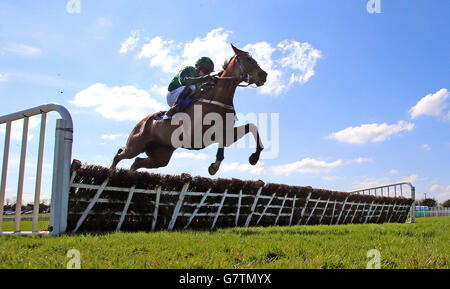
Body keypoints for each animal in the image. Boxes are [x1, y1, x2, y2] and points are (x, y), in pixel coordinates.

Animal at [110, 44, 268, 176]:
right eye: (247, 60)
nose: (264, 75)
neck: (218, 99)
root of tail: (143, 121)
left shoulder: (225, 132)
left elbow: (251, 127)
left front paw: (253, 157)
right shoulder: (196, 137)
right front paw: (215, 165)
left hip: (160, 156)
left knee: (136, 162)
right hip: (136, 145)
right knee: (120, 154)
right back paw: (111, 172)